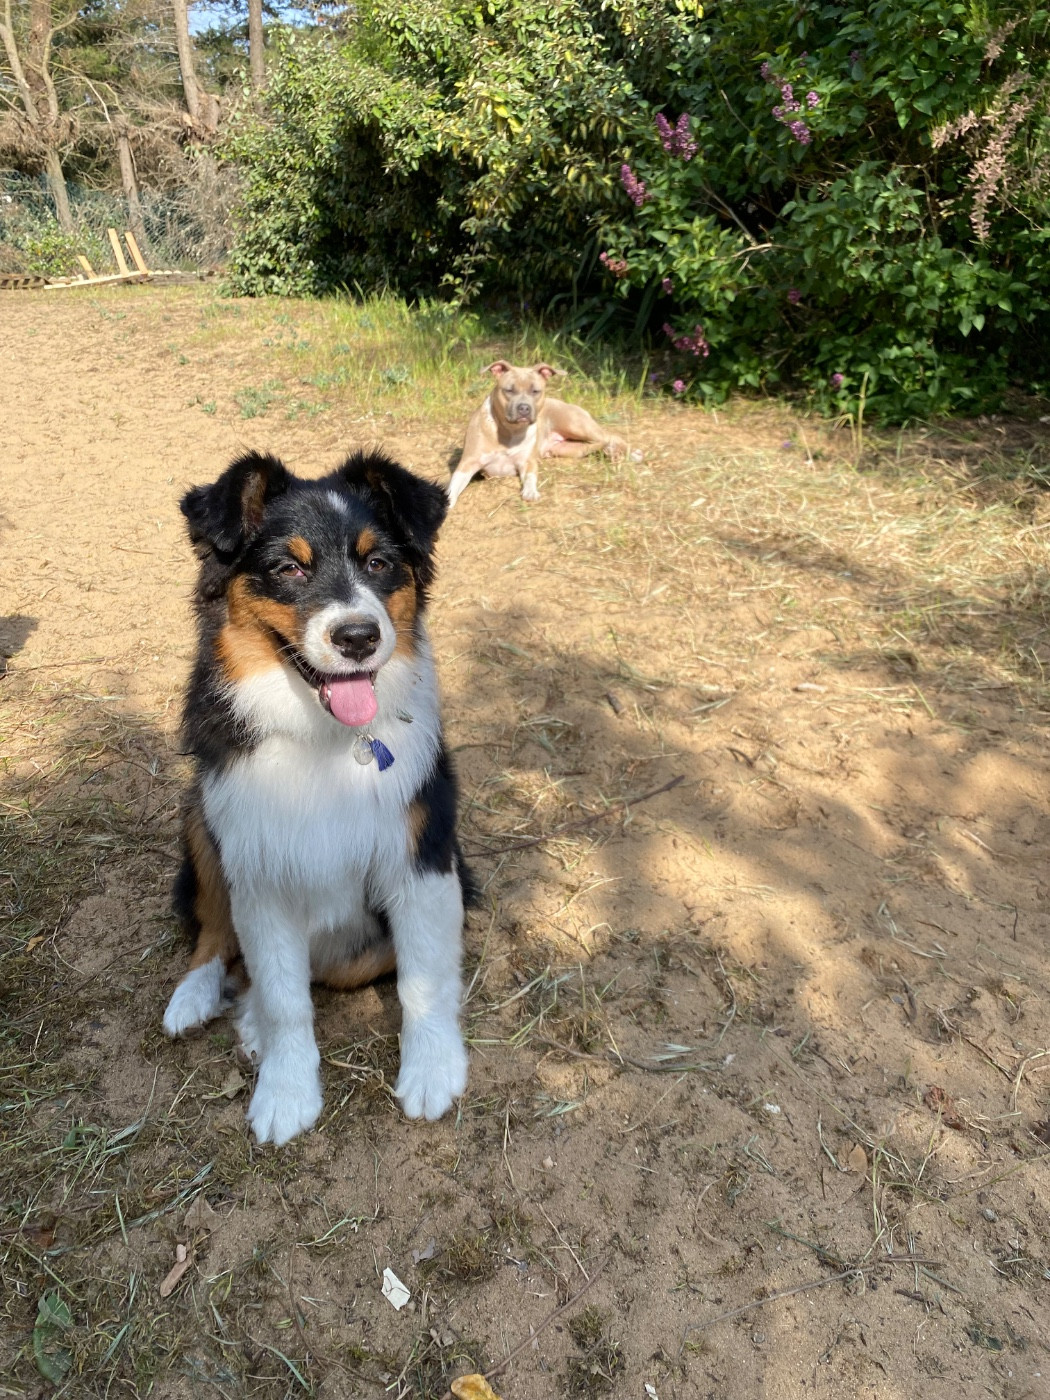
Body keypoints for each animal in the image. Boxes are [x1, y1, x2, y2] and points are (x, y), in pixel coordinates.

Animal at [162, 449, 470, 1146]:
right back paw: (196, 996)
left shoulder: (422, 852)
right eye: (288, 568)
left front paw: (433, 1071)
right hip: (201, 814)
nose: (358, 636)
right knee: (214, 929)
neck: (325, 740)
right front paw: (285, 1091)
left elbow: (422, 975)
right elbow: (283, 994)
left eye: (379, 563)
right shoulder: (257, 867)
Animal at [446, 360, 638, 508]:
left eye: (535, 391)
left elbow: (531, 476)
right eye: (509, 390)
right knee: (595, 445)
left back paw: (632, 453)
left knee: (611, 436)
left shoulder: (527, 462)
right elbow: (454, 483)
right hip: (569, 449)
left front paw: (531, 492)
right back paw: (611, 453)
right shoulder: (468, 463)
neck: (509, 431)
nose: (524, 408)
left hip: (576, 425)